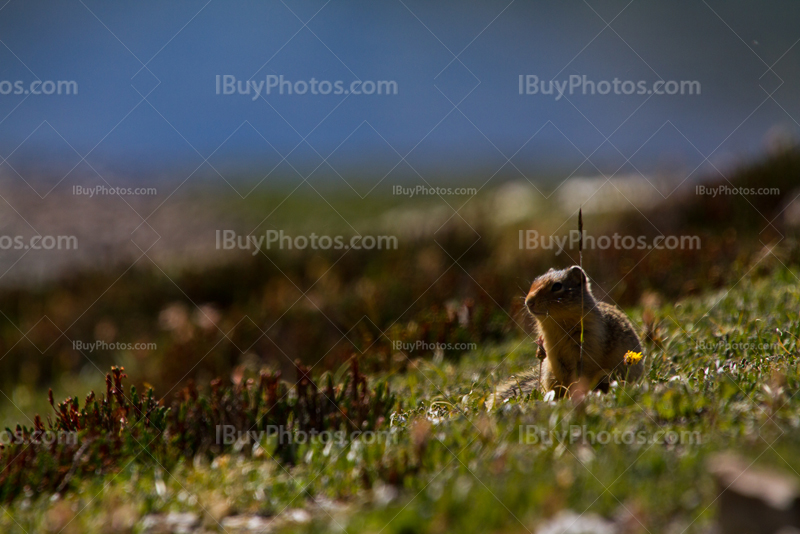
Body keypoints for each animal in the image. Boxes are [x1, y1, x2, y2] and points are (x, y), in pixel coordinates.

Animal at [490, 266, 640, 404]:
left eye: (557, 286)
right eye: (535, 281)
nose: (528, 302)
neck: (558, 324)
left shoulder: (586, 349)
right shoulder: (553, 355)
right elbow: (562, 376)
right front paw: (566, 396)